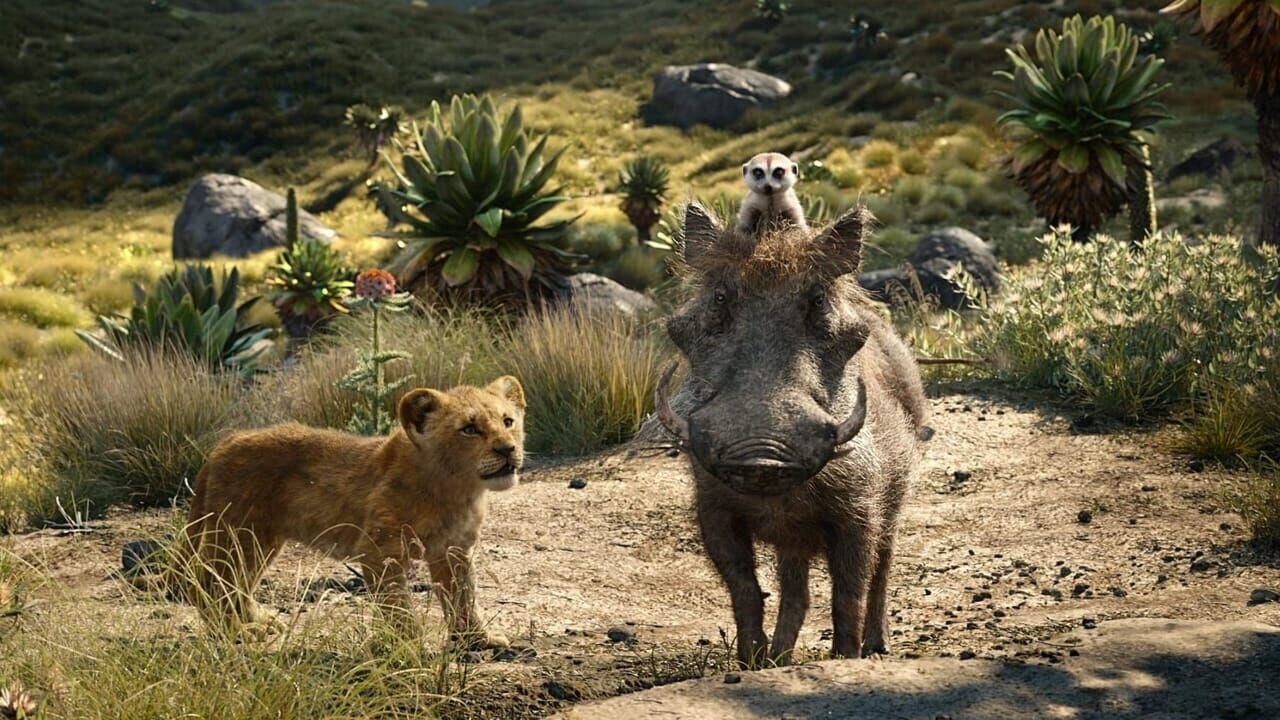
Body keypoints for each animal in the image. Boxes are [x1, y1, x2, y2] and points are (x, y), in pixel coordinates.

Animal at [170, 376, 526, 648]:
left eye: (508, 421)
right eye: (469, 429)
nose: (508, 449)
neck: (456, 490)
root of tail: (223, 444)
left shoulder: (454, 550)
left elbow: (463, 596)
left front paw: (477, 639)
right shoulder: (380, 550)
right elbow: (397, 605)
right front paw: (408, 648)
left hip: (260, 539)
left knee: (237, 583)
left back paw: (259, 620)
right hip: (238, 532)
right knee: (207, 582)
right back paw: (239, 631)